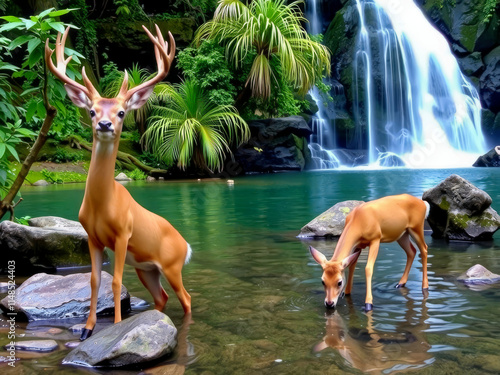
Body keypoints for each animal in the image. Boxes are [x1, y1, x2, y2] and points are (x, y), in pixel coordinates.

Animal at [45, 23, 191, 340]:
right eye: (91, 111)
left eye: (122, 112)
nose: (105, 124)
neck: (103, 205)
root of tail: (187, 246)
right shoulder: (92, 237)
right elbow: (94, 281)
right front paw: (87, 329)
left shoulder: (124, 234)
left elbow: (115, 281)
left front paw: (115, 325)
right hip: (147, 269)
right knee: (162, 297)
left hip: (172, 266)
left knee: (186, 298)